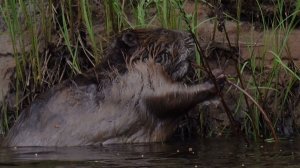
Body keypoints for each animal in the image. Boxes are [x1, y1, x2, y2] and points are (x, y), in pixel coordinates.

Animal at [2, 28, 225, 146]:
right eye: (165, 32)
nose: (190, 35)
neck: (119, 68)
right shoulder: (138, 80)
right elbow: (168, 95)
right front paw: (217, 78)